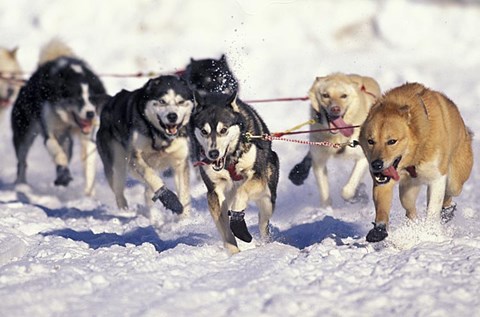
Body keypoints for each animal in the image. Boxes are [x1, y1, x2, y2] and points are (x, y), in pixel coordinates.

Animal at [11, 38, 109, 194]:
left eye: (93, 98)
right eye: (77, 98)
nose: (90, 114)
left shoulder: (87, 139)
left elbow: (88, 166)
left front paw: (89, 194)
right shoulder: (50, 133)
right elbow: (58, 154)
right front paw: (63, 172)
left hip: (66, 138)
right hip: (23, 132)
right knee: (22, 160)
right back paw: (22, 185)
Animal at [96, 76, 194, 215]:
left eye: (180, 102)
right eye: (162, 101)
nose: (172, 116)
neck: (161, 136)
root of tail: (109, 103)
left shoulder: (180, 161)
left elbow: (184, 194)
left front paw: (184, 218)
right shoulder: (135, 157)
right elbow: (149, 174)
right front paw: (169, 199)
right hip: (116, 166)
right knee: (119, 191)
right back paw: (125, 211)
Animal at [191, 92, 280, 253]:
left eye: (223, 130)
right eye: (204, 131)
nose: (213, 153)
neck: (229, 160)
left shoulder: (257, 177)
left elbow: (241, 194)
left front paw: (238, 225)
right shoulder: (214, 192)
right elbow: (226, 231)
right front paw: (235, 254)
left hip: (268, 199)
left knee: (263, 222)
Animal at [286, 72, 380, 205]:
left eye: (344, 96)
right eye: (325, 95)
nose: (335, 109)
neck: (337, 137)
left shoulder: (363, 158)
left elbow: (347, 190)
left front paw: (354, 195)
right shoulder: (319, 161)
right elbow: (324, 193)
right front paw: (327, 209)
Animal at [358, 82, 474, 241]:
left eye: (392, 141)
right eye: (370, 141)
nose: (376, 164)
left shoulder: (437, 178)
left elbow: (433, 209)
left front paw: (430, 232)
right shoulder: (384, 180)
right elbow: (382, 205)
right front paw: (379, 229)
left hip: (454, 181)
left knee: (449, 193)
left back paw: (446, 211)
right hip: (407, 191)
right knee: (409, 207)